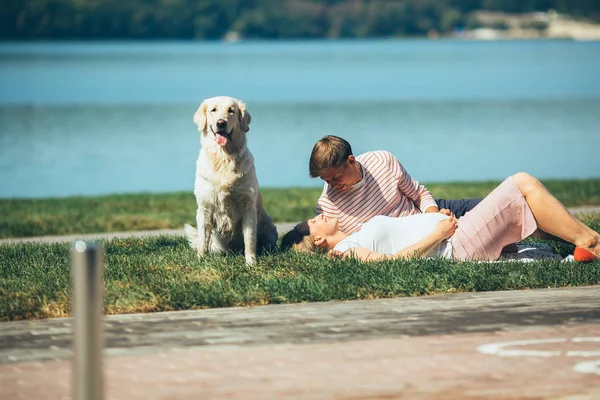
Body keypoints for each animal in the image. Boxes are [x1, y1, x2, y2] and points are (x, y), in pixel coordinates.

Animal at [184, 96, 278, 266]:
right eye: (213, 110)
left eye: (231, 110)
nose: (221, 123)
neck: (224, 158)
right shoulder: (204, 207)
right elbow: (203, 239)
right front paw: (201, 259)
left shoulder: (248, 207)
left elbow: (249, 239)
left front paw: (251, 262)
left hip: (270, 228)